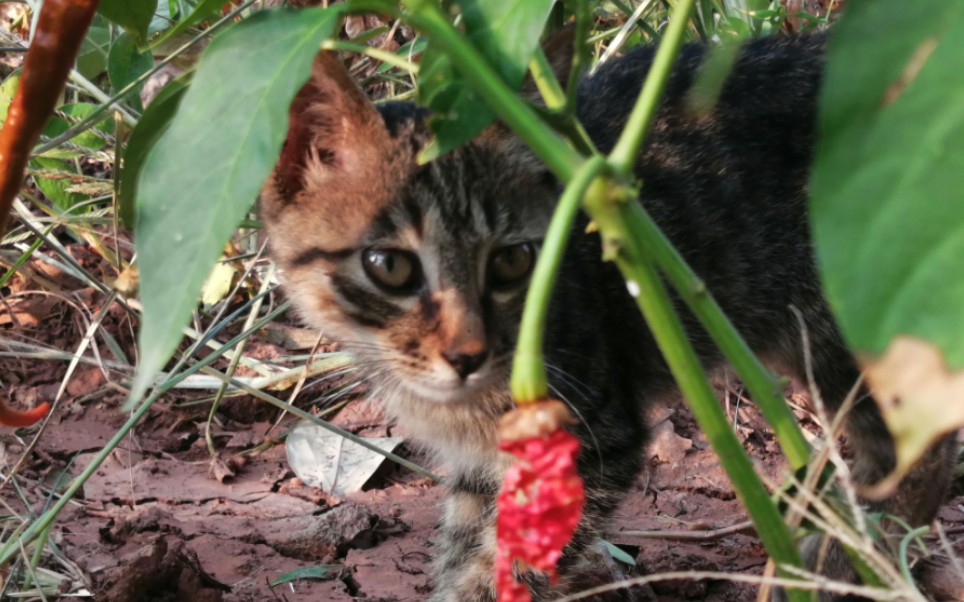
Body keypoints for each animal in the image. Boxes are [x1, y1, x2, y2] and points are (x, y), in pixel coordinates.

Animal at [258, 34, 956, 600]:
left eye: (511, 261)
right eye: (390, 267)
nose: (467, 354)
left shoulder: (592, 436)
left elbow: (509, 570)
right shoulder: (482, 466)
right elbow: (466, 545)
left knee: (920, 445)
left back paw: (848, 560)